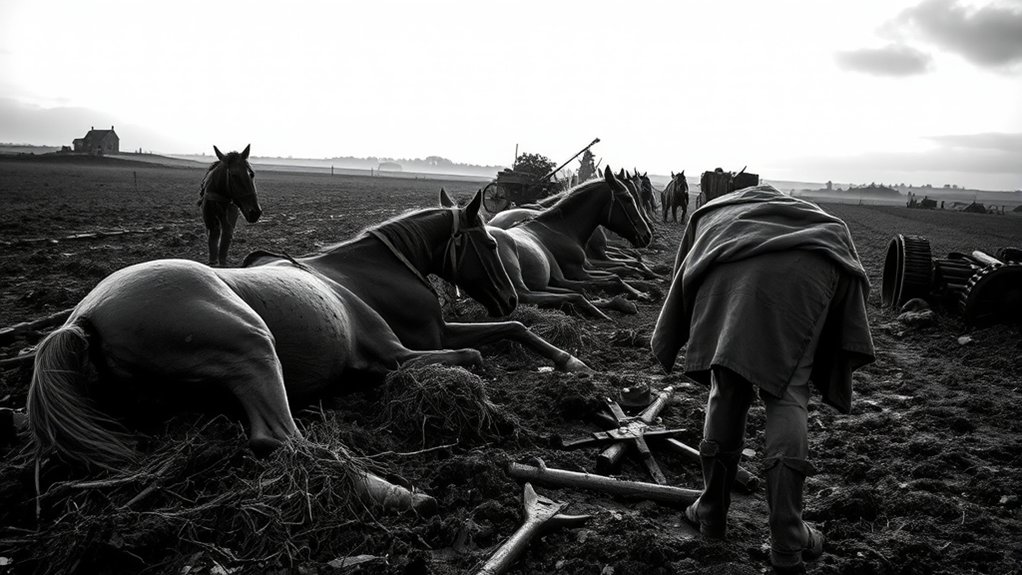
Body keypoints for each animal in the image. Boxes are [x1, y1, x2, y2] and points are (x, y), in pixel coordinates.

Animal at [27, 190, 587, 513]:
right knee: (280, 439)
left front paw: (569, 360)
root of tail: (82, 319)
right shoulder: (403, 351)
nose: (511, 294)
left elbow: (513, 328)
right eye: (489, 244)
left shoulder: (439, 333)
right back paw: (403, 494)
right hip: (251, 345)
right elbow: (476, 357)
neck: (375, 269)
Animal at [487, 166, 652, 298]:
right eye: (628, 198)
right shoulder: (579, 270)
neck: (563, 229)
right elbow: (617, 275)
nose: (647, 234)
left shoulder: (589, 266)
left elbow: (619, 272)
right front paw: (640, 292)